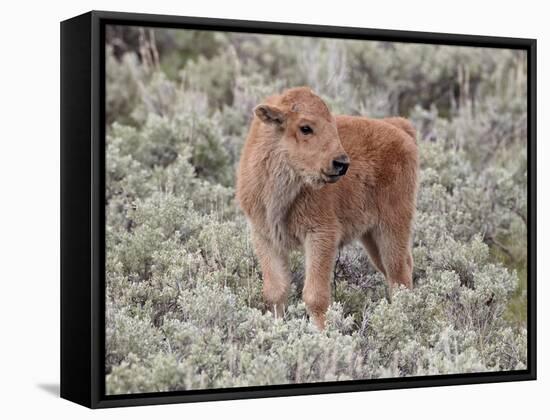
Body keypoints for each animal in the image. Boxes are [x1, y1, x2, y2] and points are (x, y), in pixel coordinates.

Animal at [235, 86, 420, 328]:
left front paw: (322, 334)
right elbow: (276, 291)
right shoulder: (265, 237)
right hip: (371, 237)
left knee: (399, 273)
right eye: (305, 128)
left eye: (332, 125)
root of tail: (401, 129)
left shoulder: (321, 235)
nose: (341, 163)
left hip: (392, 227)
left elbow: (315, 296)